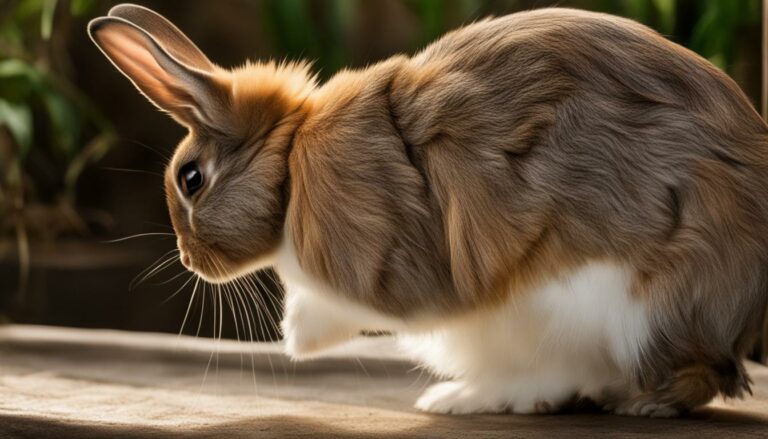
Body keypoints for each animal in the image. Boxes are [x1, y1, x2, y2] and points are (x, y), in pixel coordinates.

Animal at [89, 4, 768, 417]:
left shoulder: (381, 259)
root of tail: (737, 316)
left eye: (191, 179)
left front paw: (299, 335)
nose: (188, 258)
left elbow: (349, 306)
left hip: (620, 310)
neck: (290, 159)